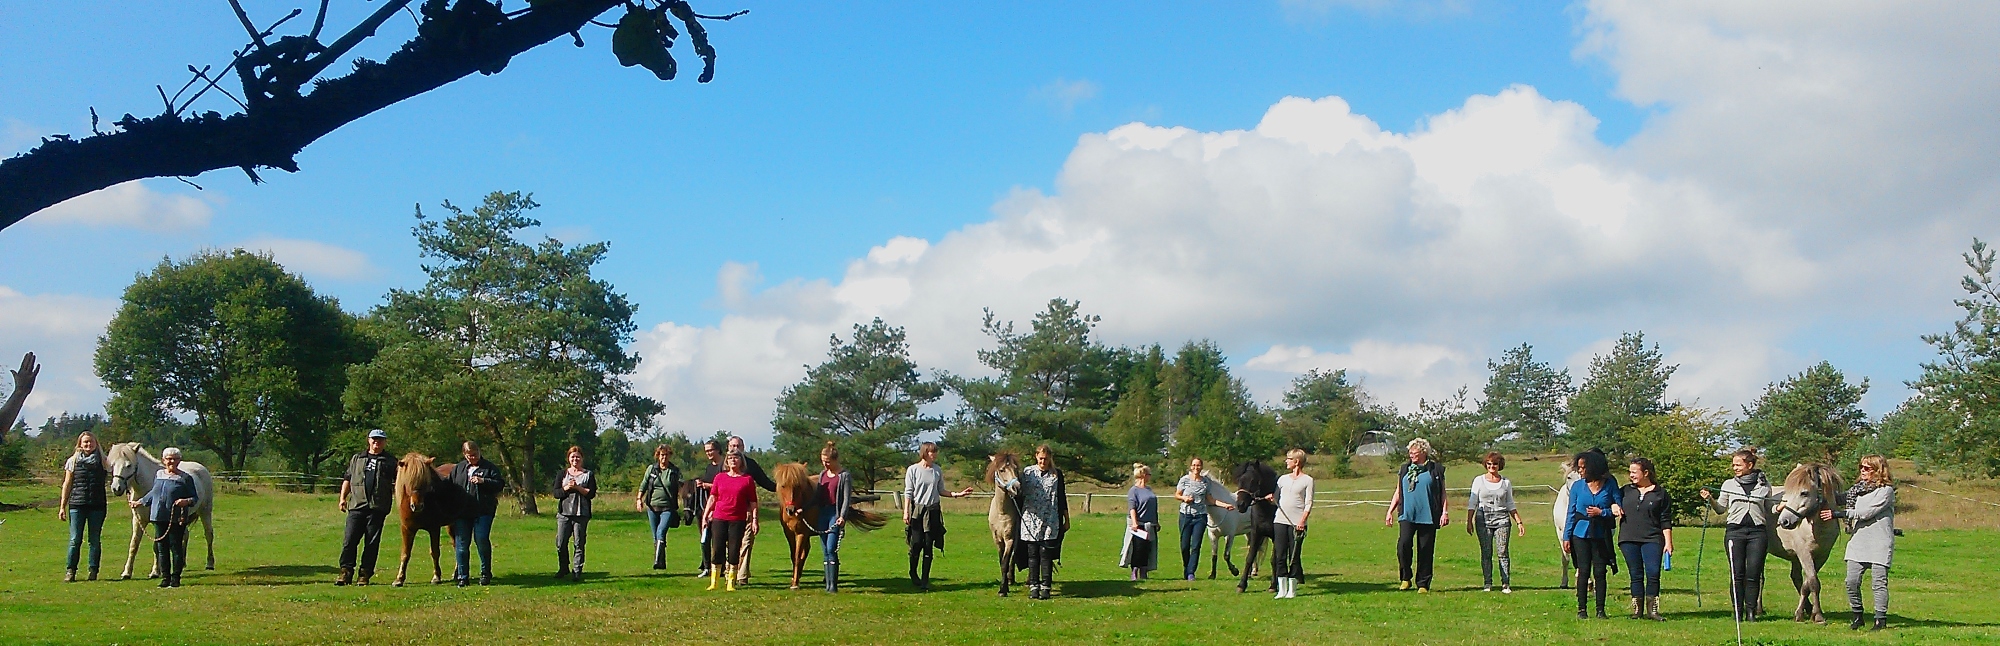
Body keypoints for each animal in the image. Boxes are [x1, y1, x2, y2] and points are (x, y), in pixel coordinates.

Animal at [105, 442, 217, 580]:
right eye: (113, 464)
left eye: (129, 465)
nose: (116, 488)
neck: (147, 487)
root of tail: (202, 468)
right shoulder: (138, 520)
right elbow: (134, 545)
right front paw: (127, 572)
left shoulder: (158, 521)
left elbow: (157, 546)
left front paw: (155, 572)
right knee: (185, 535)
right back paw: (182, 563)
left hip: (205, 512)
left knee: (209, 535)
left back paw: (210, 563)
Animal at [390, 456, 468, 588]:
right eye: (409, 482)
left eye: (426, 482)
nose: (417, 506)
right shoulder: (407, 529)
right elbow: (405, 554)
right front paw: (399, 579)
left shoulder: (434, 528)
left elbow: (435, 552)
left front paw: (436, 577)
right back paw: (456, 574)